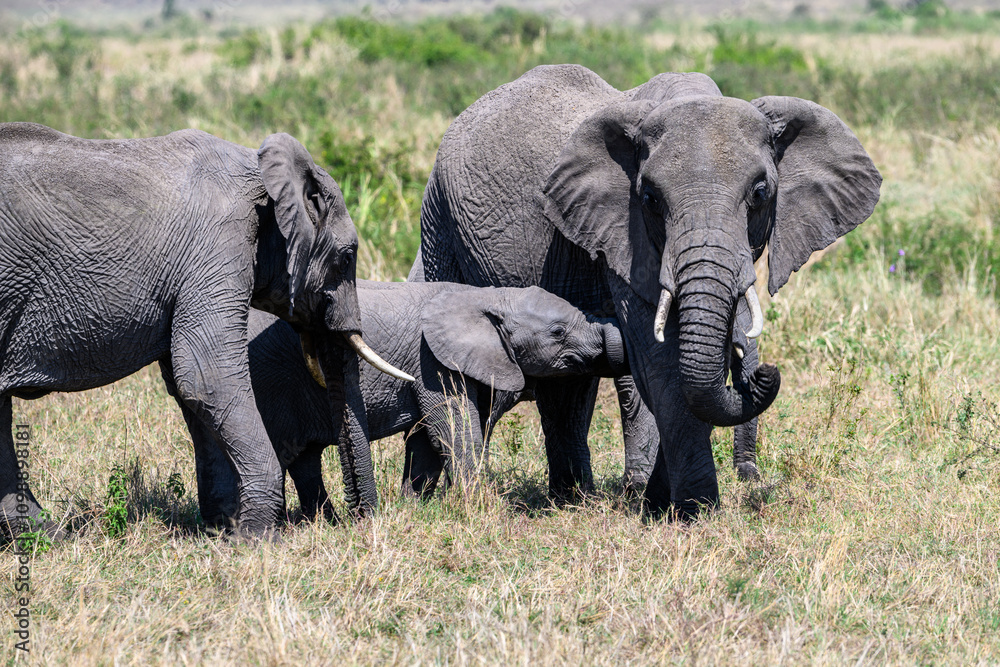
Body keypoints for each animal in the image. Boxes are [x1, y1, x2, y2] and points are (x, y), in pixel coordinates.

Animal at [0, 122, 410, 536]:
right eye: (346, 258)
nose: (356, 521)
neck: (264, 176)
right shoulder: (217, 245)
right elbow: (205, 375)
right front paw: (258, 537)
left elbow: (194, 391)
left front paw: (223, 531)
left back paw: (46, 536)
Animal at [165, 279, 628, 519]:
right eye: (558, 332)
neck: (485, 295)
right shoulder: (432, 361)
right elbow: (451, 428)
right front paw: (484, 510)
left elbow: (426, 439)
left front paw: (414, 508)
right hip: (267, 378)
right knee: (282, 451)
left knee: (303, 457)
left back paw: (325, 520)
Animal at [410, 65, 882, 519]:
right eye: (651, 199)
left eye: (761, 192)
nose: (766, 373)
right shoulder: (623, 232)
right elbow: (659, 359)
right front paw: (694, 511)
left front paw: (657, 503)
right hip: (439, 223)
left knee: (567, 391)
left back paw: (571, 498)